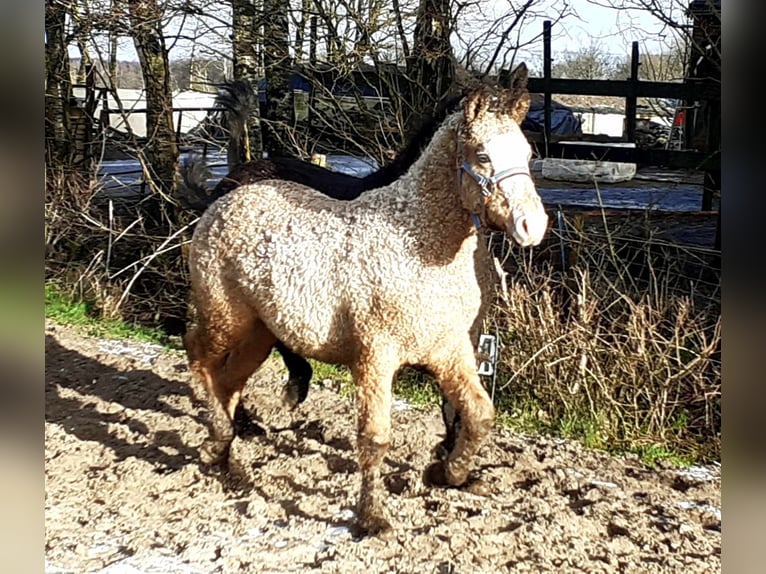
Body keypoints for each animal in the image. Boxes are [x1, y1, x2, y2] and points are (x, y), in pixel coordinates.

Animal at [183, 63, 548, 534]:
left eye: (527, 154)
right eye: (483, 155)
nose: (532, 226)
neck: (417, 242)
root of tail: (225, 196)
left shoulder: (451, 351)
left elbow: (477, 415)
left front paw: (449, 473)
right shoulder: (376, 356)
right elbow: (375, 438)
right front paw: (373, 517)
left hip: (259, 333)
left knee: (228, 380)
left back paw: (230, 460)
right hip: (225, 316)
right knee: (198, 357)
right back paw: (223, 440)